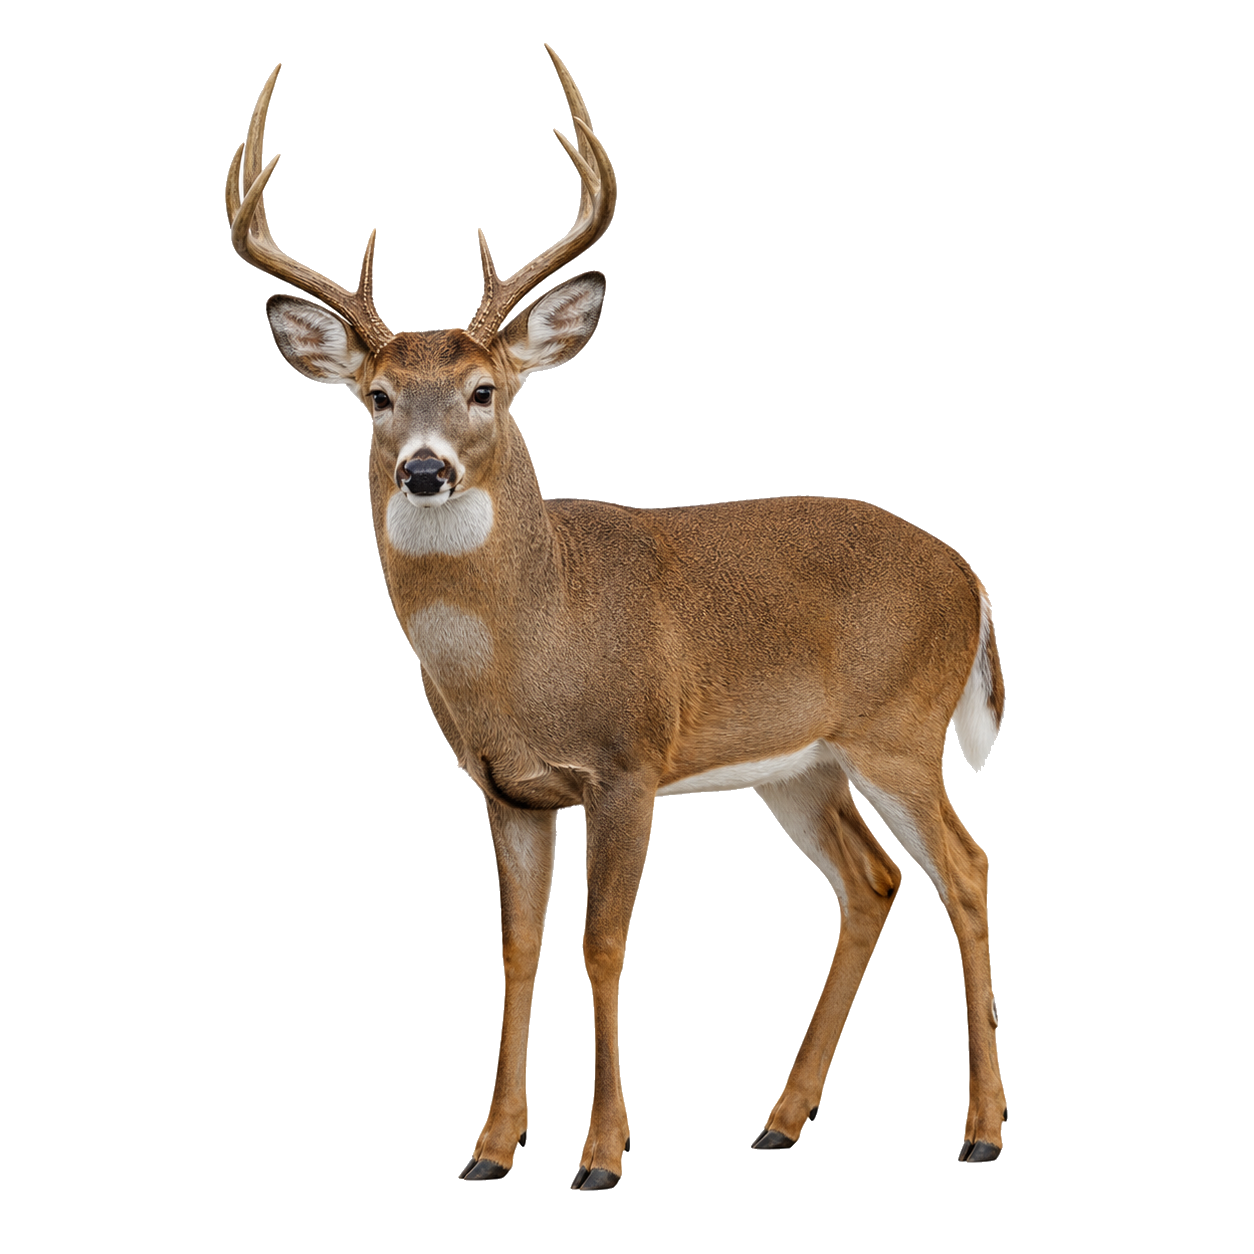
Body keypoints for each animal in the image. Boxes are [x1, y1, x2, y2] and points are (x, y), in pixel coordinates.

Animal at [226, 47, 1008, 1187]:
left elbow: (602, 945)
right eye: (376, 397)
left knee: (967, 870)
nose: (424, 470)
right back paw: (779, 1120)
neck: (532, 645)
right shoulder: (505, 788)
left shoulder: (629, 765)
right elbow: (517, 947)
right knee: (872, 882)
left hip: (899, 729)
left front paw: (601, 1153)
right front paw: (490, 1149)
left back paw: (982, 1130)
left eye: (484, 391)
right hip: (798, 764)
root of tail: (974, 579)